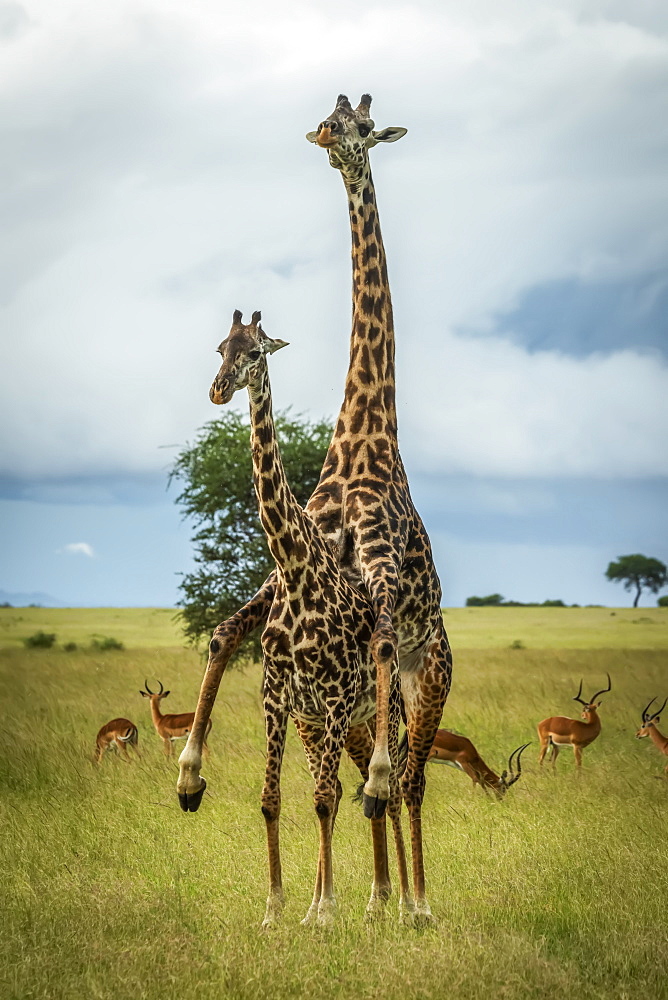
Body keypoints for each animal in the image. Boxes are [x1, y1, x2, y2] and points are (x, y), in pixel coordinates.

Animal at [177, 314, 412, 928]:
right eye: (220, 347)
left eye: (257, 351)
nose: (218, 389)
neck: (296, 568)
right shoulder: (278, 693)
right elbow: (273, 800)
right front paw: (277, 909)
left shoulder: (334, 696)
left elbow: (325, 801)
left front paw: (322, 913)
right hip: (334, 724)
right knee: (350, 790)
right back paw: (370, 897)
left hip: (380, 719)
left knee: (393, 791)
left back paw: (406, 901)